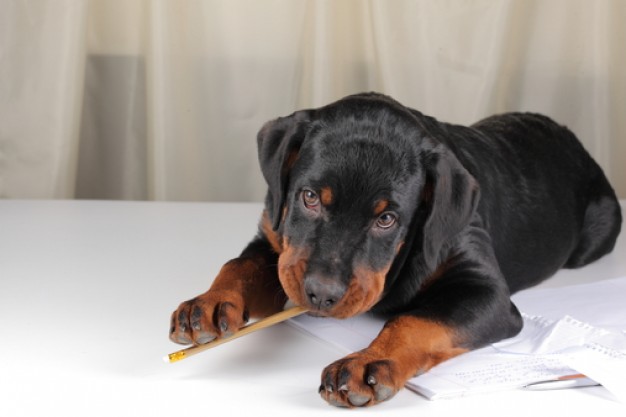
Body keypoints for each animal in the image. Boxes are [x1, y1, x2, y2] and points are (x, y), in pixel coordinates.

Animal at [169, 92, 620, 406]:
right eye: (309, 197)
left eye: (386, 219)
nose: (321, 295)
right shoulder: (274, 238)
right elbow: (238, 265)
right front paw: (207, 304)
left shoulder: (485, 291)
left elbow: (415, 321)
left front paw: (368, 364)